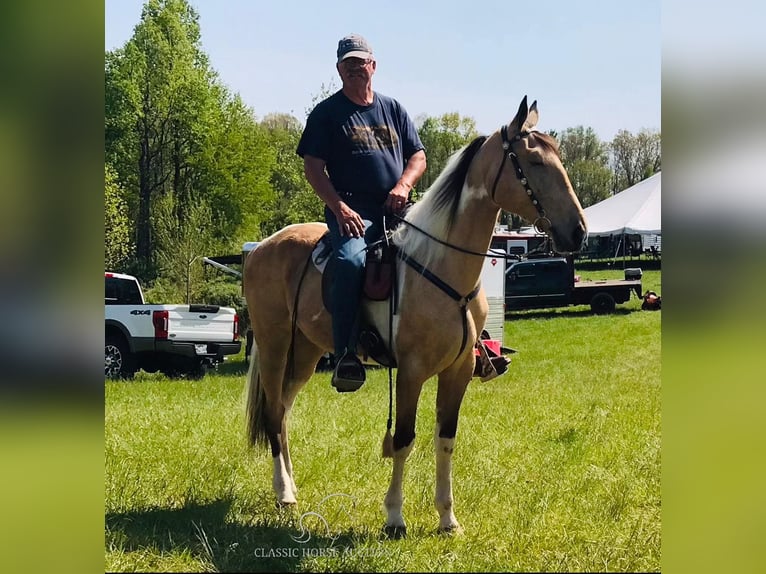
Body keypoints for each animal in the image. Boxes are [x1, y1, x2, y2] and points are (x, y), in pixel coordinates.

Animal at [246, 98, 588, 536]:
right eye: (534, 162)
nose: (577, 232)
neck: (439, 264)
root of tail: (261, 248)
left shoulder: (458, 371)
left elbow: (445, 439)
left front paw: (447, 518)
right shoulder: (411, 372)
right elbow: (404, 439)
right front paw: (394, 516)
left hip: (304, 351)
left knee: (285, 412)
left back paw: (291, 487)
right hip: (275, 345)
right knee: (274, 413)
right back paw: (284, 494)